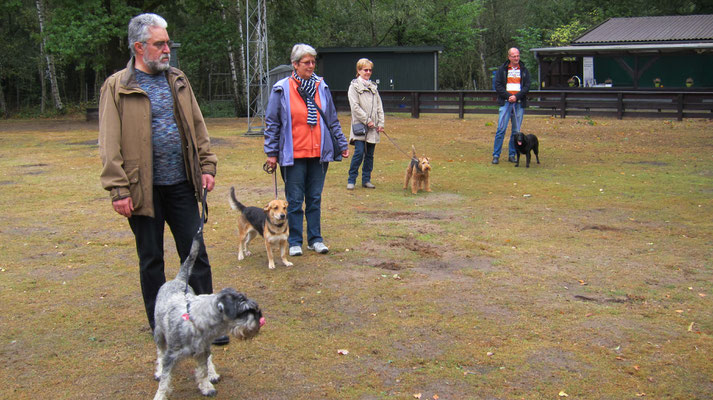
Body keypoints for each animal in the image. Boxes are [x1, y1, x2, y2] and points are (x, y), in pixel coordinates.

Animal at [152, 234, 262, 400]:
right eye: (244, 311)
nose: (260, 316)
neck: (195, 322)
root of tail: (178, 279)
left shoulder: (202, 351)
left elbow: (202, 371)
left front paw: (206, 386)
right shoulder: (171, 355)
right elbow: (165, 379)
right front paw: (160, 394)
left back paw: (212, 374)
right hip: (159, 333)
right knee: (160, 351)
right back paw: (158, 370)